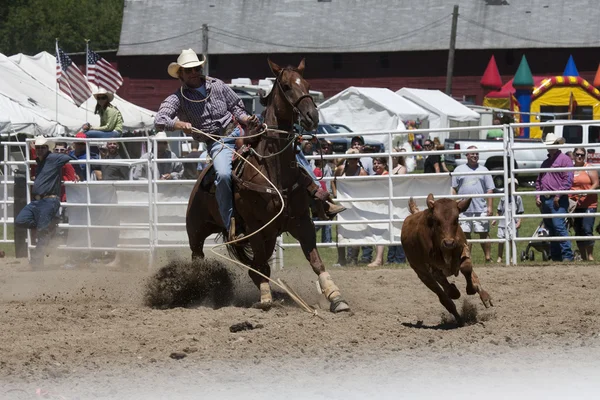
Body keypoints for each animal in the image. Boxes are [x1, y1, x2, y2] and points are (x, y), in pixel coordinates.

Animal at [185, 58, 350, 312]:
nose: (312, 116)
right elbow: (262, 264)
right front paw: (265, 299)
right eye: (287, 86)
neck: (273, 171)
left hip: (270, 235)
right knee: (199, 257)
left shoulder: (301, 222)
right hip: (196, 230)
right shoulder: (255, 226)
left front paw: (336, 297)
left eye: (308, 84)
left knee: (256, 265)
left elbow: (316, 262)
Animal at [404, 192, 492, 326]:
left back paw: (484, 296)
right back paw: (459, 319)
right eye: (436, 220)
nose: (449, 243)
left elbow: (466, 268)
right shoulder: (432, 268)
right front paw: (454, 290)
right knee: (444, 298)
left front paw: (471, 289)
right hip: (422, 274)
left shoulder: (464, 250)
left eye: (456, 219)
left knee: (473, 277)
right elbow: (447, 288)